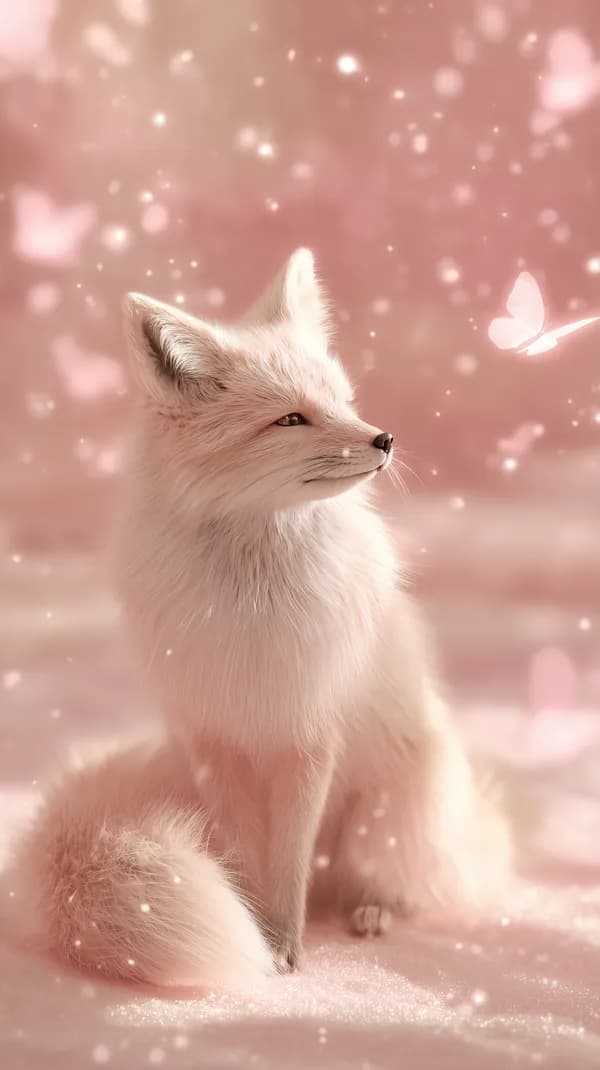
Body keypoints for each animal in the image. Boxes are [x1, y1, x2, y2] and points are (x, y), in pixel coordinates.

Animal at [12, 249, 513, 990]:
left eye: (342, 400)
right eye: (292, 420)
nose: (386, 438)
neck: (254, 604)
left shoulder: (307, 733)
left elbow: (288, 863)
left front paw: (287, 946)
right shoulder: (218, 740)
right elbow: (250, 862)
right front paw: (264, 938)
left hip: (382, 821)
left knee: (397, 881)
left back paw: (372, 910)